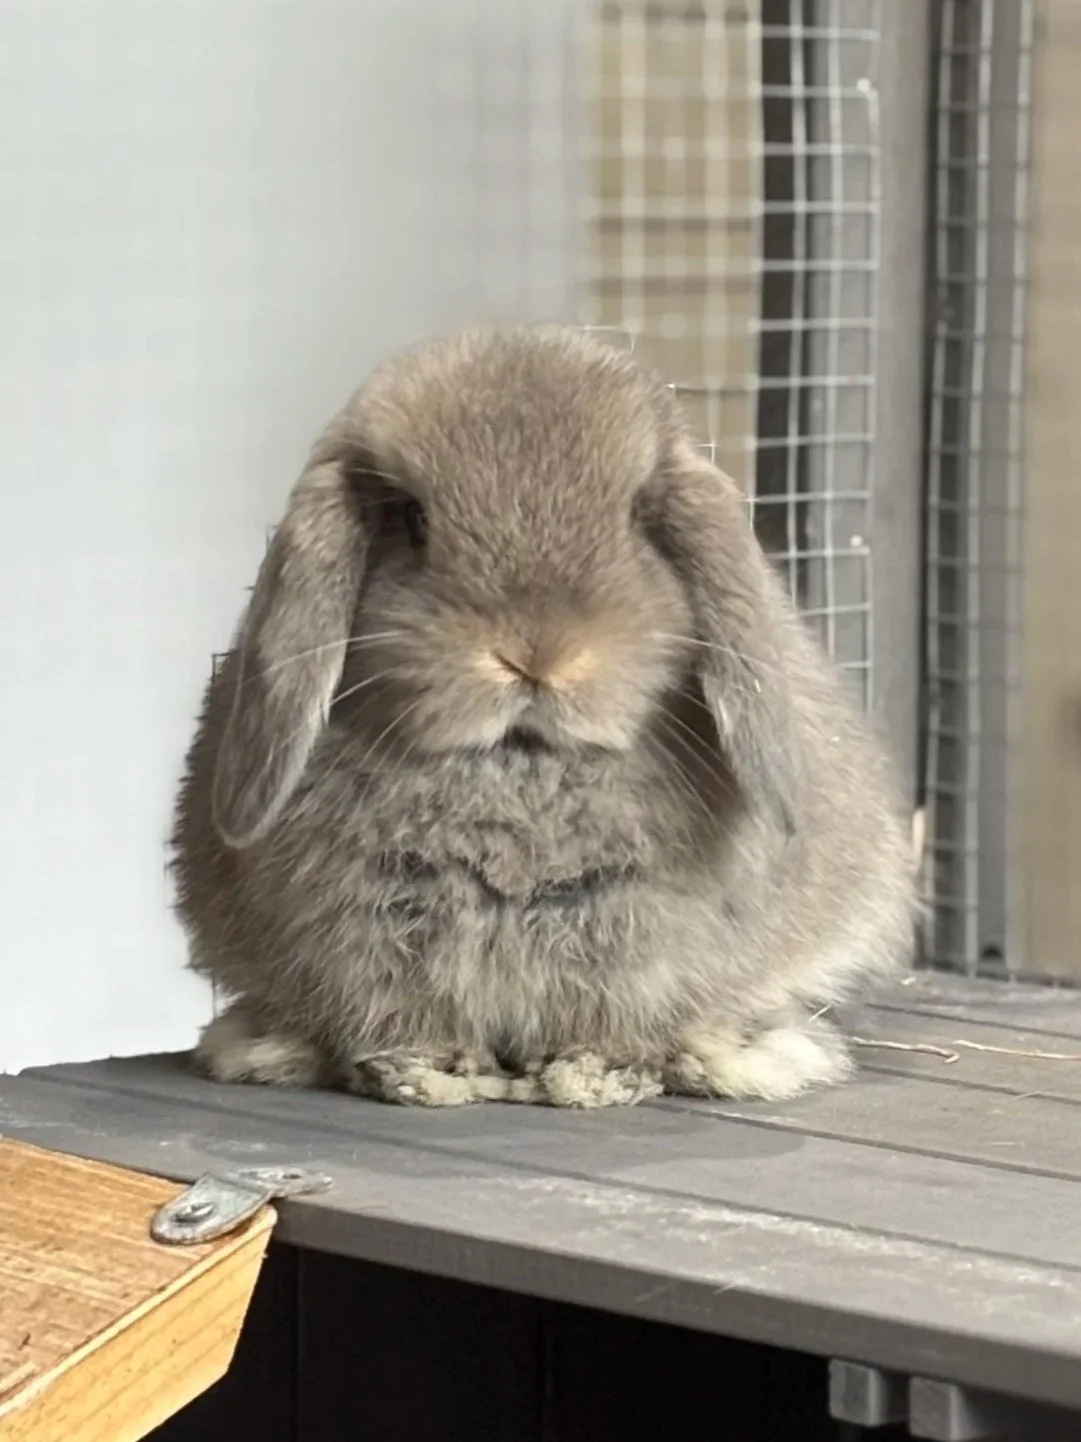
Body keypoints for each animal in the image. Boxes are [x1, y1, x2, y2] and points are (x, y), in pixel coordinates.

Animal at [171, 324, 916, 1109]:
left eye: (636, 519)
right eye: (411, 518)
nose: (535, 655)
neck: (523, 762)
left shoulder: (632, 956)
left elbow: (616, 1024)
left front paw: (591, 1076)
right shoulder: (380, 950)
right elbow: (409, 1020)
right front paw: (427, 1074)